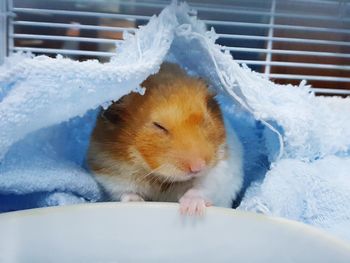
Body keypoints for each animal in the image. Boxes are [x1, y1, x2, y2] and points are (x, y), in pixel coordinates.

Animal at [87, 63, 243, 216]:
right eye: (159, 126)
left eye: (205, 120)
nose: (198, 167)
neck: (160, 177)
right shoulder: (109, 171)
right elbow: (125, 191)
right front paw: (135, 202)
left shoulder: (223, 164)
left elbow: (203, 187)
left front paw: (190, 209)